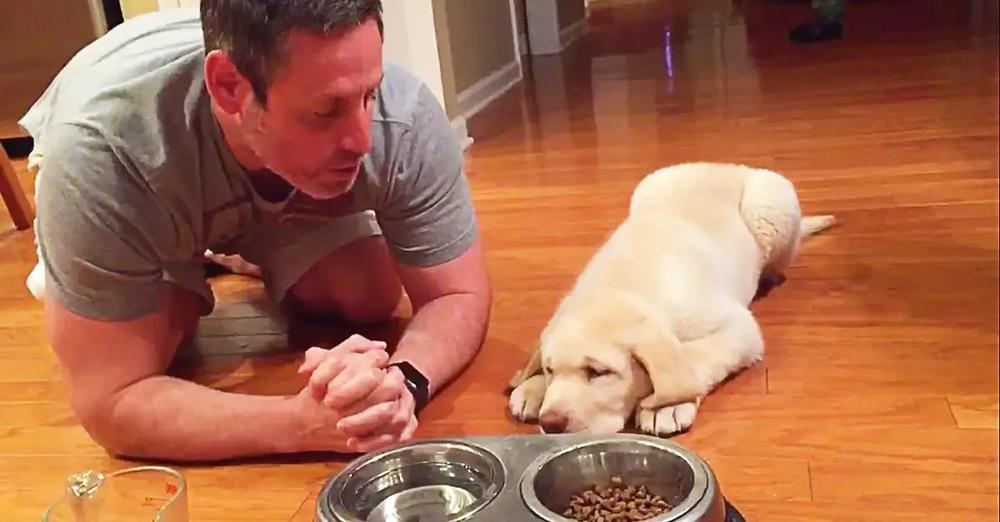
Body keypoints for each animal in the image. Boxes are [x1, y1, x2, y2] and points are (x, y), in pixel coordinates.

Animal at [508, 162, 836, 434]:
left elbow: (694, 355)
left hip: (770, 205)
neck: (621, 286)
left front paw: (668, 405)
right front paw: (532, 386)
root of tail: (723, 164)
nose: (550, 424)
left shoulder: (738, 326)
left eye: (598, 372)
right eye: (550, 369)